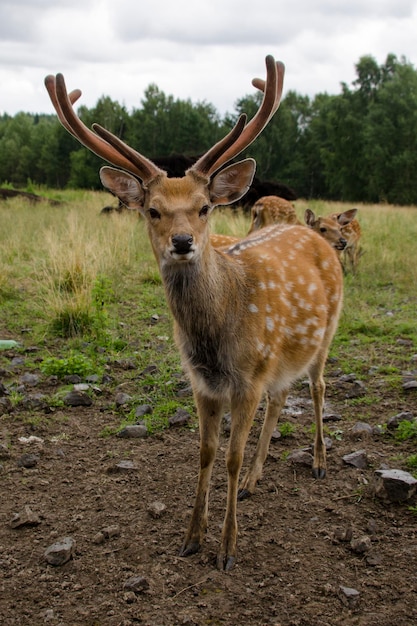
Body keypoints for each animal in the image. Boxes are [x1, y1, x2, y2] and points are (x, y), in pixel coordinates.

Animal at [45, 54, 342, 572]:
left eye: (204, 208)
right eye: (153, 210)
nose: (182, 242)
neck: (215, 336)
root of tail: (316, 233)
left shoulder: (248, 378)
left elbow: (230, 458)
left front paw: (227, 549)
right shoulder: (203, 382)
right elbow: (204, 453)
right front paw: (191, 537)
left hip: (326, 333)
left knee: (319, 387)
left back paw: (320, 463)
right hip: (282, 359)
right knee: (283, 395)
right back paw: (256, 481)